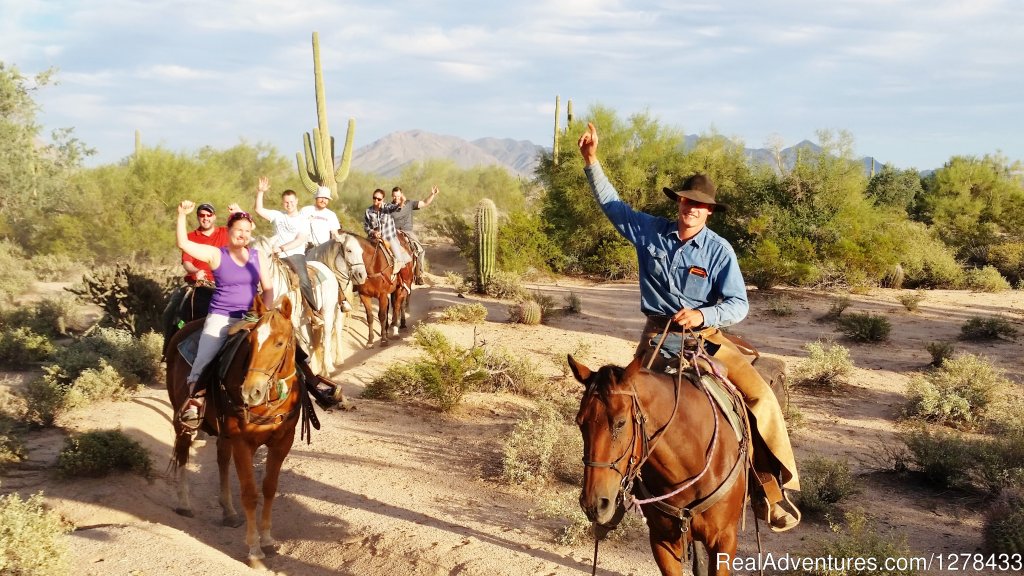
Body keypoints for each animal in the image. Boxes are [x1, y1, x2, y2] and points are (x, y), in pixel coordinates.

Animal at [167, 293, 301, 565]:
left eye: (279, 343)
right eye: (251, 342)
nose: (252, 391)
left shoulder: (283, 441)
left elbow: (269, 488)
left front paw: (267, 539)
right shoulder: (243, 442)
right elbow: (250, 494)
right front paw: (254, 550)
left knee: (221, 458)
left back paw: (228, 511)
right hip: (182, 418)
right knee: (184, 452)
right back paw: (184, 503)